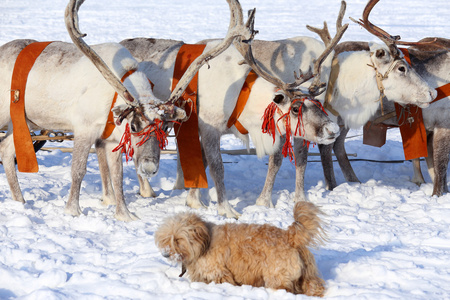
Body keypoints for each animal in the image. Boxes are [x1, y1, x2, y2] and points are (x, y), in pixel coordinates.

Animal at [155, 202, 326, 296]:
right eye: (165, 238)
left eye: (178, 239)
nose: (165, 254)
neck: (204, 242)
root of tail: (290, 236)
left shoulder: (219, 272)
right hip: (306, 273)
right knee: (314, 285)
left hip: (277, 276)